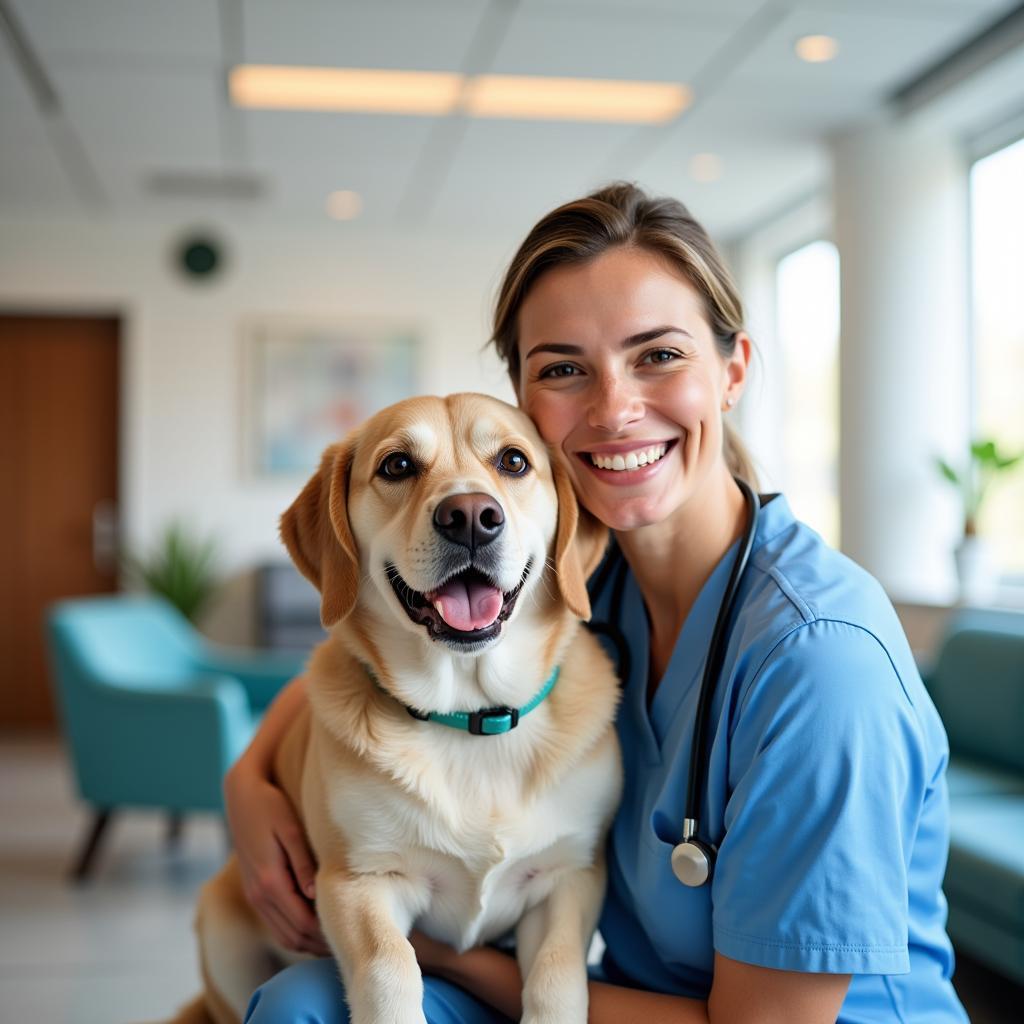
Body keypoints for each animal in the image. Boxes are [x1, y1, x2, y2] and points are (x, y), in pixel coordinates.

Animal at [172, 391, 618, 1024]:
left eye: (513, 461)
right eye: (397, 465)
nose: (470, 516)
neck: (469, 719)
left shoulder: (568, 879)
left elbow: (556, 980)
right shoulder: (359, 879)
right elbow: (390, 969)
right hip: (223, 935)